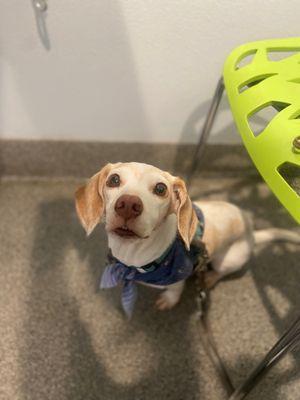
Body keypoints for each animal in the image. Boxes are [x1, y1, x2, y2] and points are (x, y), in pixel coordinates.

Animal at [75, 162, 300, 312]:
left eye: (161, 188)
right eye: (113, 180)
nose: (128, 204)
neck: (133, 257)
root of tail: (251, 231)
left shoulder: (179, 276)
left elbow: (175, 291)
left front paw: (168, 301)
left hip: (229, 259)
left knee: (221, 272)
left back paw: (209, 278)